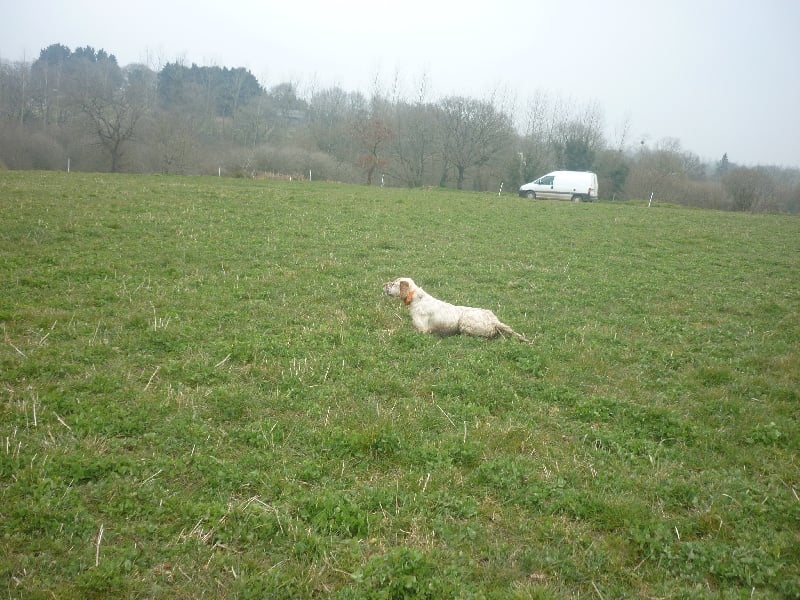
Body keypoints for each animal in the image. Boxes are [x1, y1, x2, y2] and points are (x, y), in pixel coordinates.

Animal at [383, 277, 532, 343]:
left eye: (394, 283)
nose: (383, 284)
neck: (416, 298)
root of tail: (495, 321)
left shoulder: (422, 330)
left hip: (464, 323)